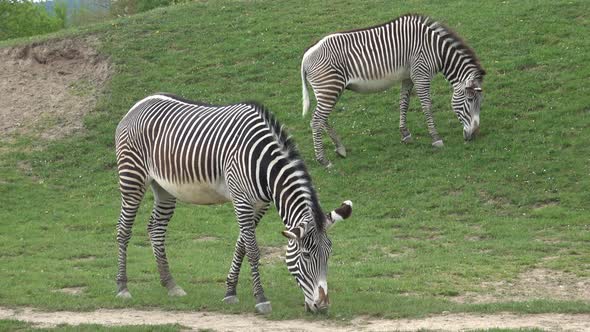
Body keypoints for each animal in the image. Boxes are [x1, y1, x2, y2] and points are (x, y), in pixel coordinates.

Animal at [116, 93, 356, 314]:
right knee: (123, 230)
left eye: (329, 253)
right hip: (132, 178)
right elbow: (253, 249)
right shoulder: (242, 200)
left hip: (163, 188)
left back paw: (171, 285)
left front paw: (230, 291)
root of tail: (139, 104)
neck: (265, 166)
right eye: (306, 255)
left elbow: (241, 245)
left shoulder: (260, 205)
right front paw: (261, 298)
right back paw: (122, 288)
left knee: (156, 229)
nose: (322, 306)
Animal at [302, 13, 488, 166]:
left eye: (481, 102)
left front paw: (405, 134)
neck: (436, 49)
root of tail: (305, 56)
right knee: (316, 121)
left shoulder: (408, 77)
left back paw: (340, 148)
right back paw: (323, 160)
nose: (475, 134)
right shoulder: (421, 75)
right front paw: (436, 138)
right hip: (330, 88)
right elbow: (427, 106)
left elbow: (404, 103)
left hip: (329, 90)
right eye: (470, 99)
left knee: (322, 119)